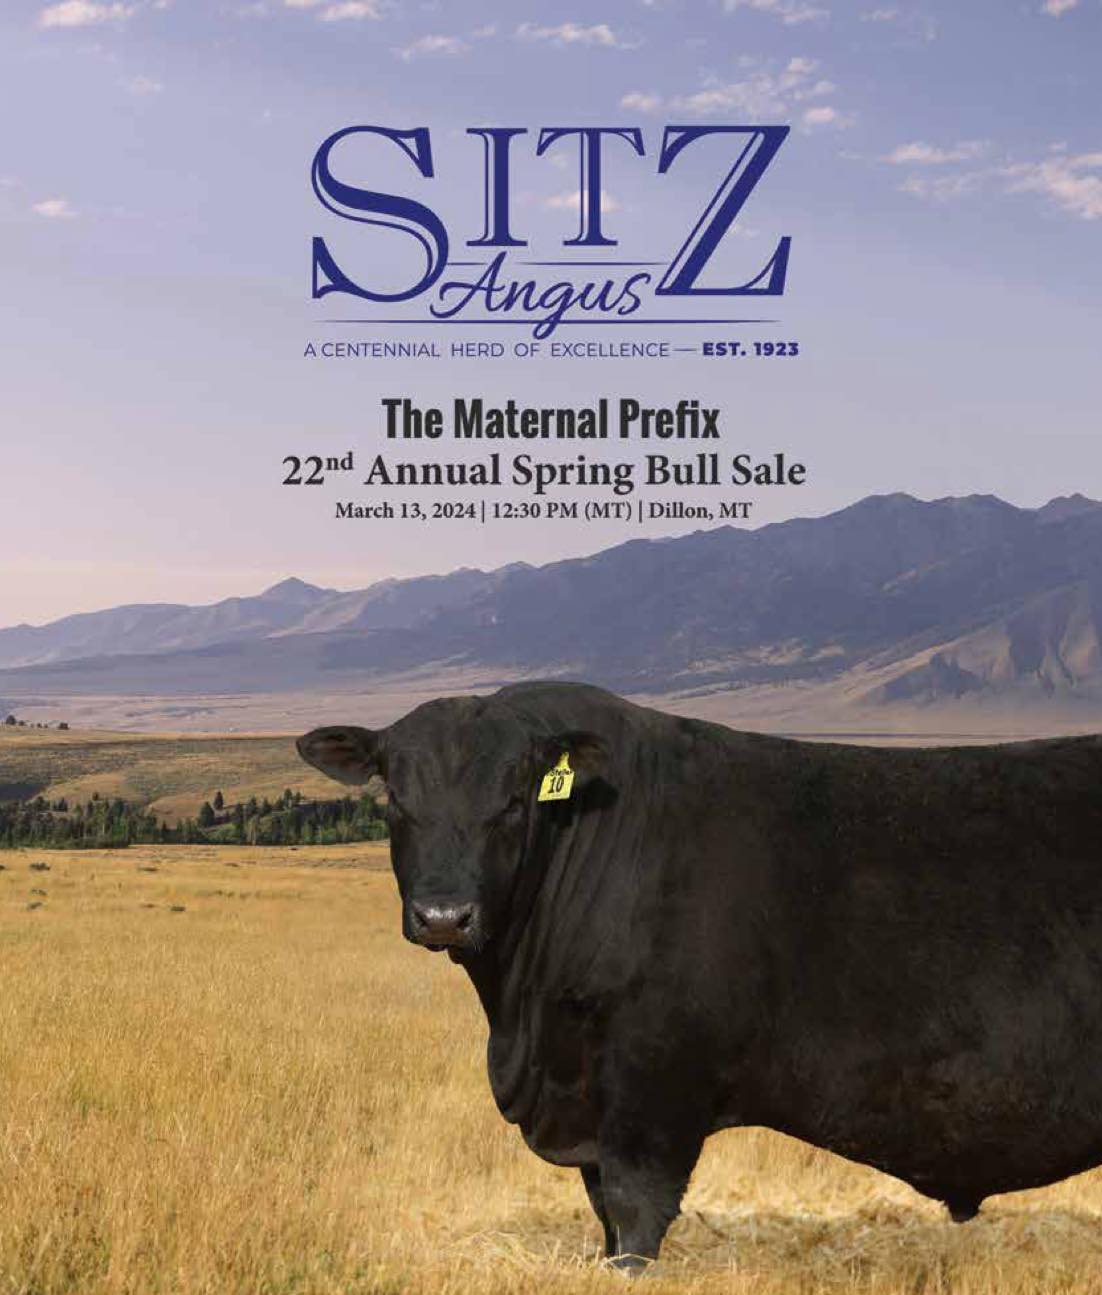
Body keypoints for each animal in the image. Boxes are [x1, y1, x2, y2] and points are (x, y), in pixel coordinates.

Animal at [297, 681, 1102, 1270]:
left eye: (514, 801)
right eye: (395, 800)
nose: (444, 915)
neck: (524, 1024)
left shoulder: (653, 1088)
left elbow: (634, 1215)